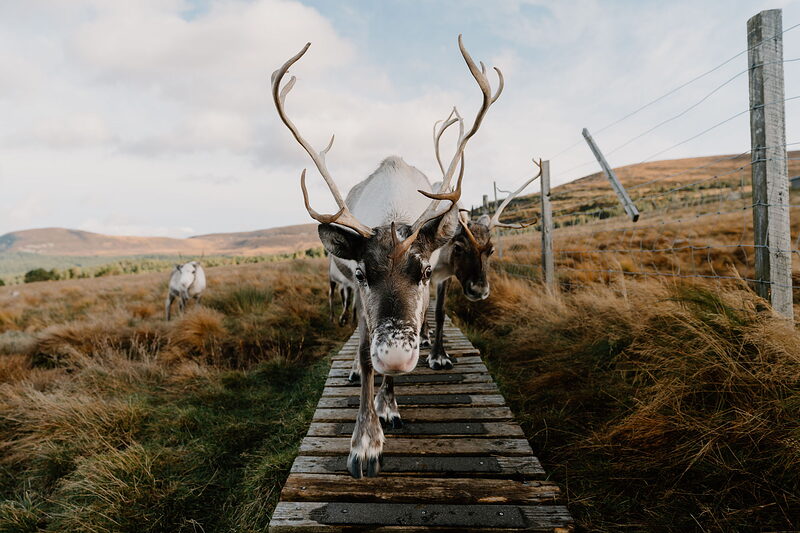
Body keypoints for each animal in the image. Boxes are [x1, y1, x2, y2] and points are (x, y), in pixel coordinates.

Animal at [271, 35, 502, 478]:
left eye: (426, 271)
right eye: (363, 274)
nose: (395, 356)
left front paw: (389, 405)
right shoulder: (360, 300)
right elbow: (364, 355)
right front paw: (365, 443)